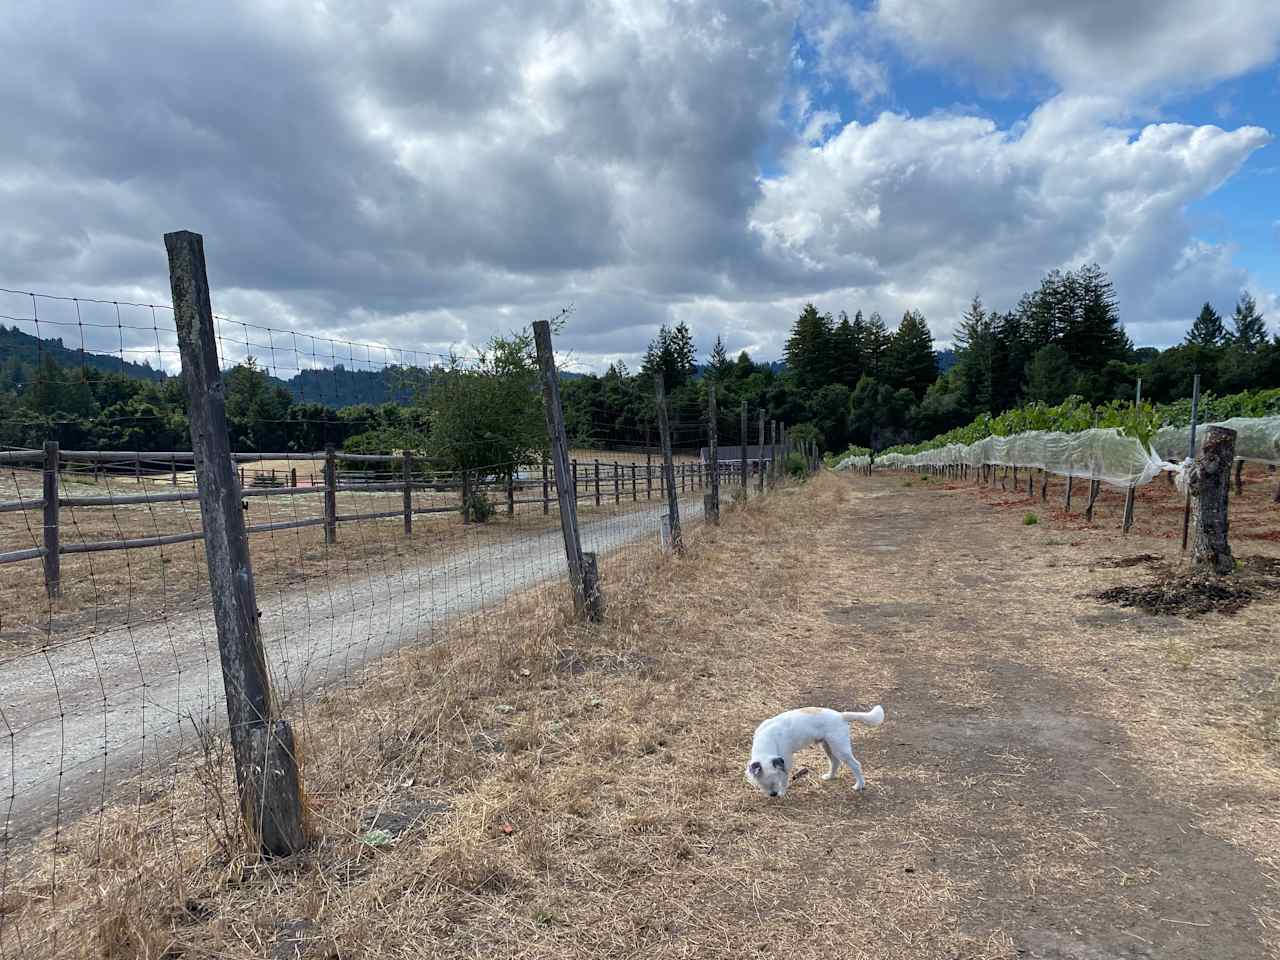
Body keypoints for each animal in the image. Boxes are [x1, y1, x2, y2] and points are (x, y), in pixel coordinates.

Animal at [747, 701, 885, 798]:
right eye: (762, 783)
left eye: (775, 781)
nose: (773, 795)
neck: (768, 739)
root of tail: (841, 716)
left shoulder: (786, 760)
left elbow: (785, 778)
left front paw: (783, 792)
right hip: (827, 746)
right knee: (835, 762)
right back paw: (830, 776)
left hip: (840, 748)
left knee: (856, 765)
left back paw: (859, 785)